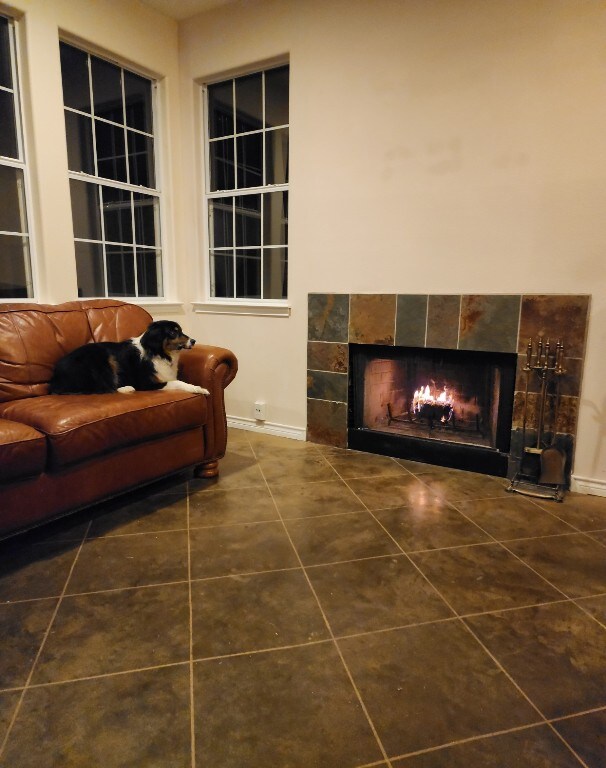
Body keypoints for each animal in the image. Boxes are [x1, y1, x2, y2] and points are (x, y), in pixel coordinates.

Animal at [47, 320, 210, 400]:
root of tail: (55, 377)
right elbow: (177, 382)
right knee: (103, 388)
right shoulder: (147, 383)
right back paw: (126, 388)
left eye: (180, 330)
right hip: (100, 360)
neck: (158, 353)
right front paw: (199, 388)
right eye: (172, 332)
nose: (193, 341)